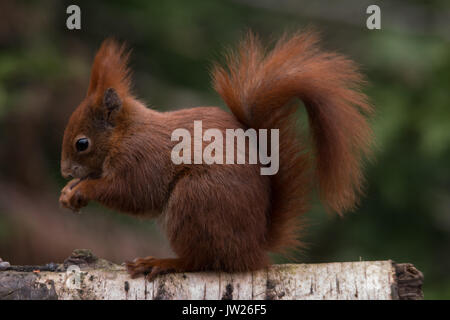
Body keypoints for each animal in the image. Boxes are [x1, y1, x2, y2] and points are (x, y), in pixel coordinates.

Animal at [59, 30, 372, 280]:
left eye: (82, 143)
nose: (64, 171)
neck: (125, 134)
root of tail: (253, 248)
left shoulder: (141, 157)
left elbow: (131, 193)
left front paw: (83, 189)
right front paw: (68, 191)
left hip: (196, 200)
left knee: (202, 260)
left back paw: (164, 262)